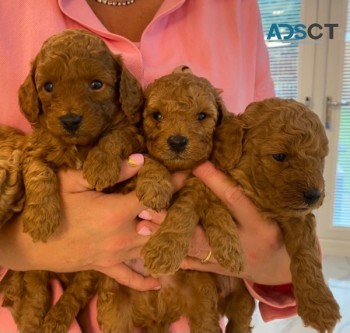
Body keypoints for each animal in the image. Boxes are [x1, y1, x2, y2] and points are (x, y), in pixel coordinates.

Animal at [0, 27, 144, 332]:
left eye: (96, 84)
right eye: (48, 87)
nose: (70, 120)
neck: (79, 145)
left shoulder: (132, 134)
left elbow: (114, 136)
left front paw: (100, 165)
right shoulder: (34, 147)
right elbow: (38, 172)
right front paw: (41, 218)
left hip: (93, 268)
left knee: (77, 292)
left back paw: (56, 319)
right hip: (37, 266)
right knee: (36, 294)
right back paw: (34, 321)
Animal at [215, 98, 340, 332]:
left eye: (320, 158)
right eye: (280, 156)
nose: (314, 195)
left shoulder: (298, 217)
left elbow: (306, 253)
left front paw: (319, 306)